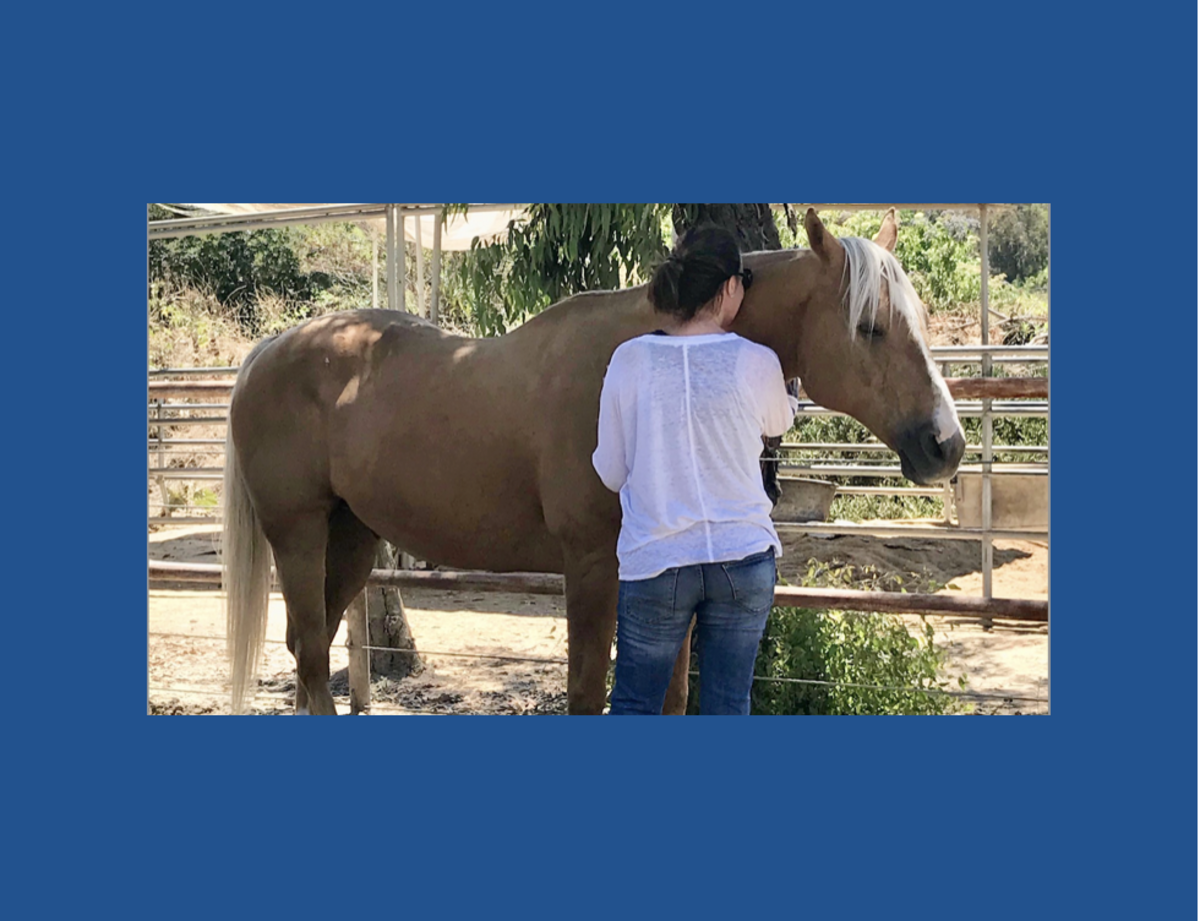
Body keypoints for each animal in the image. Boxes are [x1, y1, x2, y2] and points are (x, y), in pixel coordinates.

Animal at [222, 208, 966, 715]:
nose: (946, 444)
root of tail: (269, 351)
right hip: (298, 534)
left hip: (350, 538)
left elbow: (671, 699)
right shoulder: (591, 568)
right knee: (310, 653)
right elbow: (586, 693)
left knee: (308, 648)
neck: (664, 347)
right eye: (869, 326)